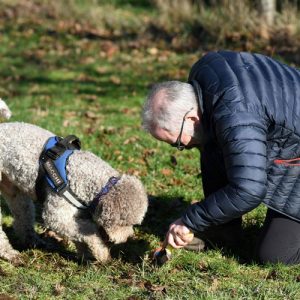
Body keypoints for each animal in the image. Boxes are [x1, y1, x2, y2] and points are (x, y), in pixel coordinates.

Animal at [0, 99, 148, 262]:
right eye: (125, 223)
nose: (127, 238)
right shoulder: (56, 215)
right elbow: (88, 231)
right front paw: (101, 252)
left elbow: (80, 234)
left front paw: (85, 255)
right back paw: (9, 253)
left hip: (13, 190)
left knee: (22, 216)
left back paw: (33, 241)